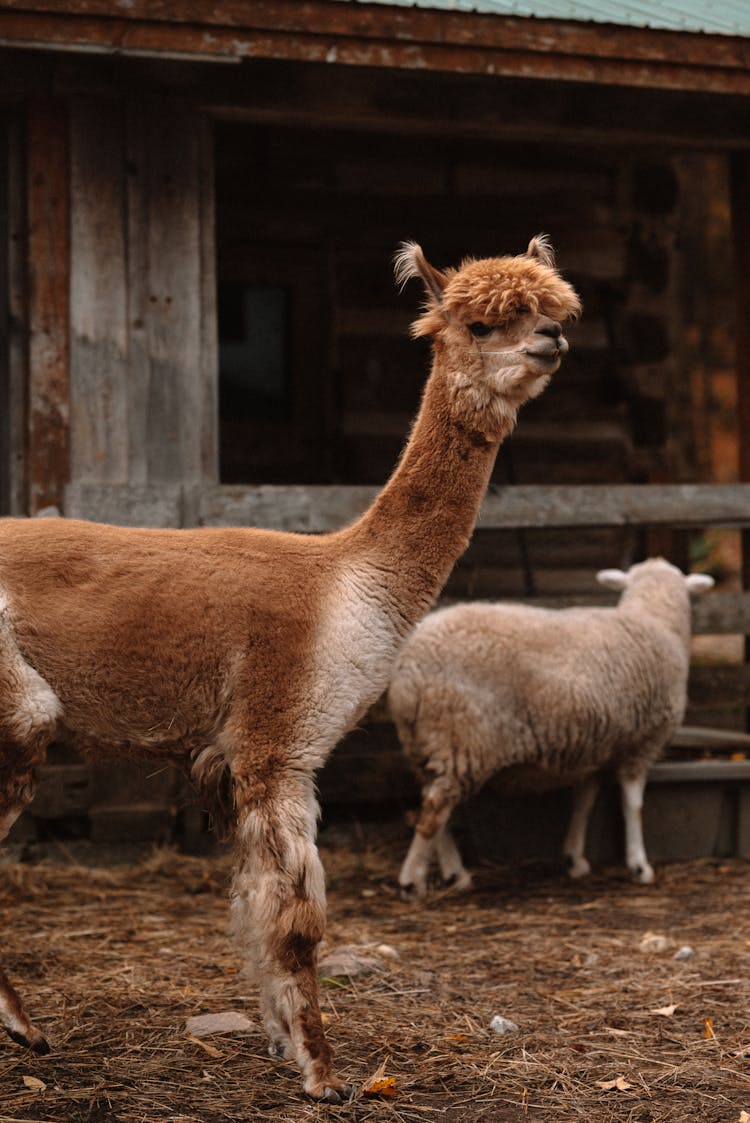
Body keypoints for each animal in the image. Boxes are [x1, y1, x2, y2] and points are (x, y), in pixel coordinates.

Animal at [390, 557, 714, 898]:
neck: (654, 621)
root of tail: (406, 676)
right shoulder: (641, 743)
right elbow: (633, 805)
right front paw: (640, 865)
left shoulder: (594, 748)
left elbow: (584, 803)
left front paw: (575, 859)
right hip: (461, 739)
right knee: (434, 811)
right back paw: (412, 881)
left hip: (426, 742)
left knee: (432, 805)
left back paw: (456, 874)